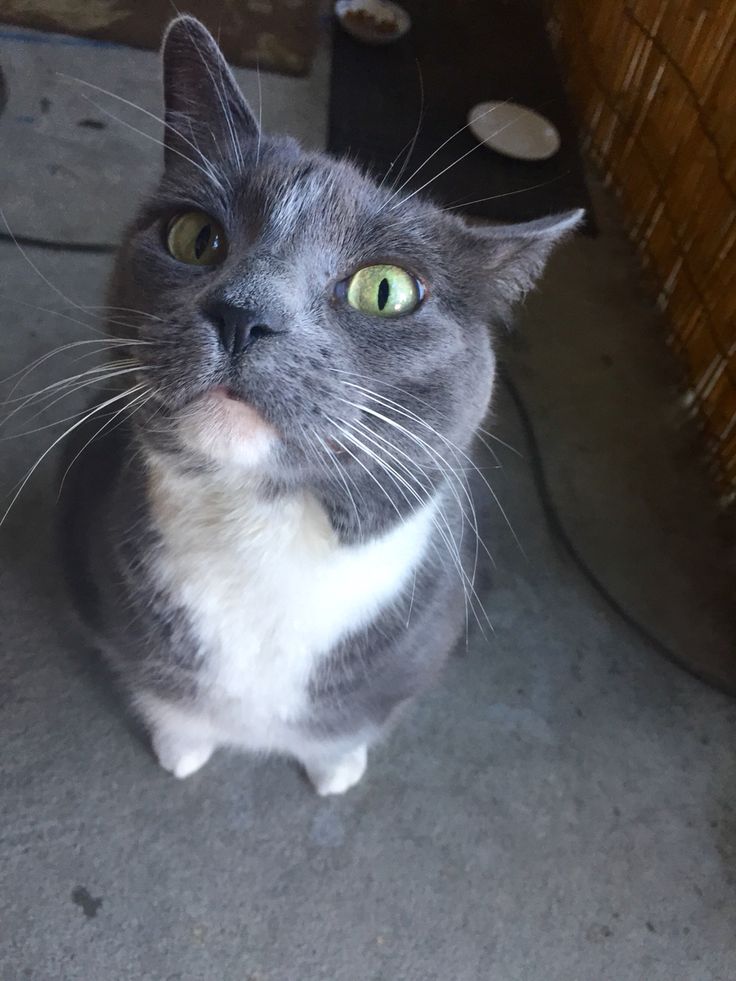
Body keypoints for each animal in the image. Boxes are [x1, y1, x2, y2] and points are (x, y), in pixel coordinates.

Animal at [57, 17, 584, 796]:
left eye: (386, 290)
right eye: (195, 237)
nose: (242, 314)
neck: (259, 529)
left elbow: (348, 725)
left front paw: (336, 768)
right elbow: (164, 693)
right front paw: (181, 747)